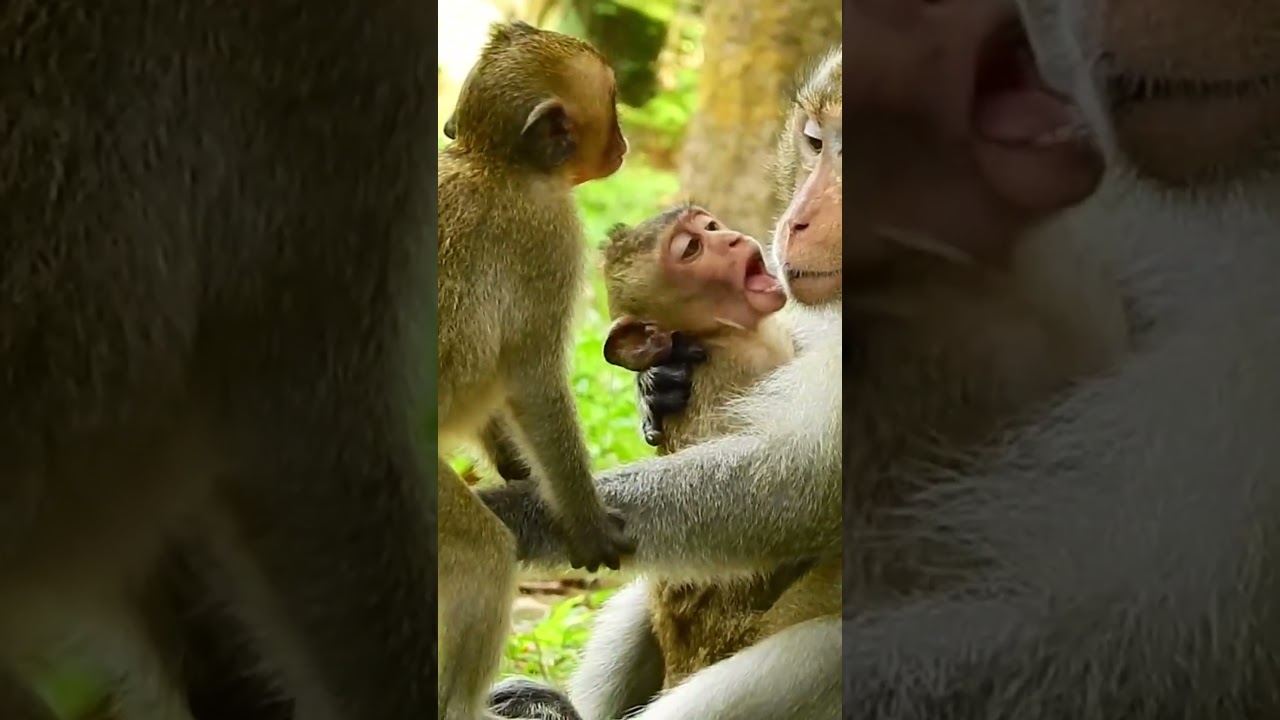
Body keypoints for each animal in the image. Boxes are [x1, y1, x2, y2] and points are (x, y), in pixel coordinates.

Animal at [436, 20, 634, 720]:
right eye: (612, 101)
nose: (625, 140)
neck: (494, 161)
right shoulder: (552, 240)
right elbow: (534, 382)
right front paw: (586, 519)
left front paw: (516, 464)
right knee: (481, 559)